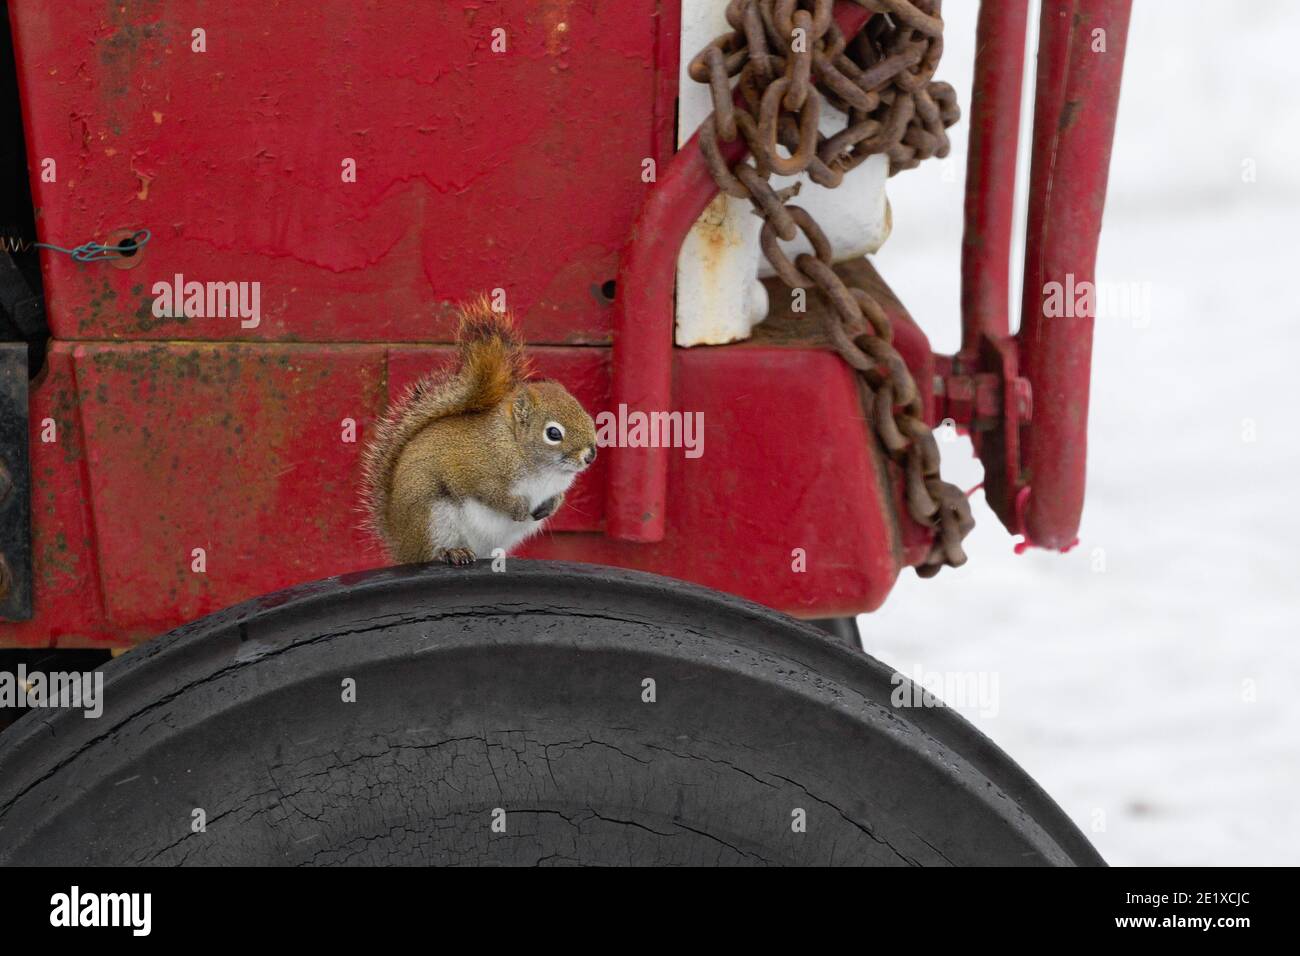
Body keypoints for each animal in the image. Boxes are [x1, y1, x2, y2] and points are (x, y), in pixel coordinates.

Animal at [361, 297, 597, 565]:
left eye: (586, 414)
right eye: (553, 433)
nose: (590, 455)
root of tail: (401, 546)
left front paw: (553, 504)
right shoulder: (472, 468)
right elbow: (487, 491)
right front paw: (516, 507)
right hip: (432, 519)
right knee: (431, 551)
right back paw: (452, 552)